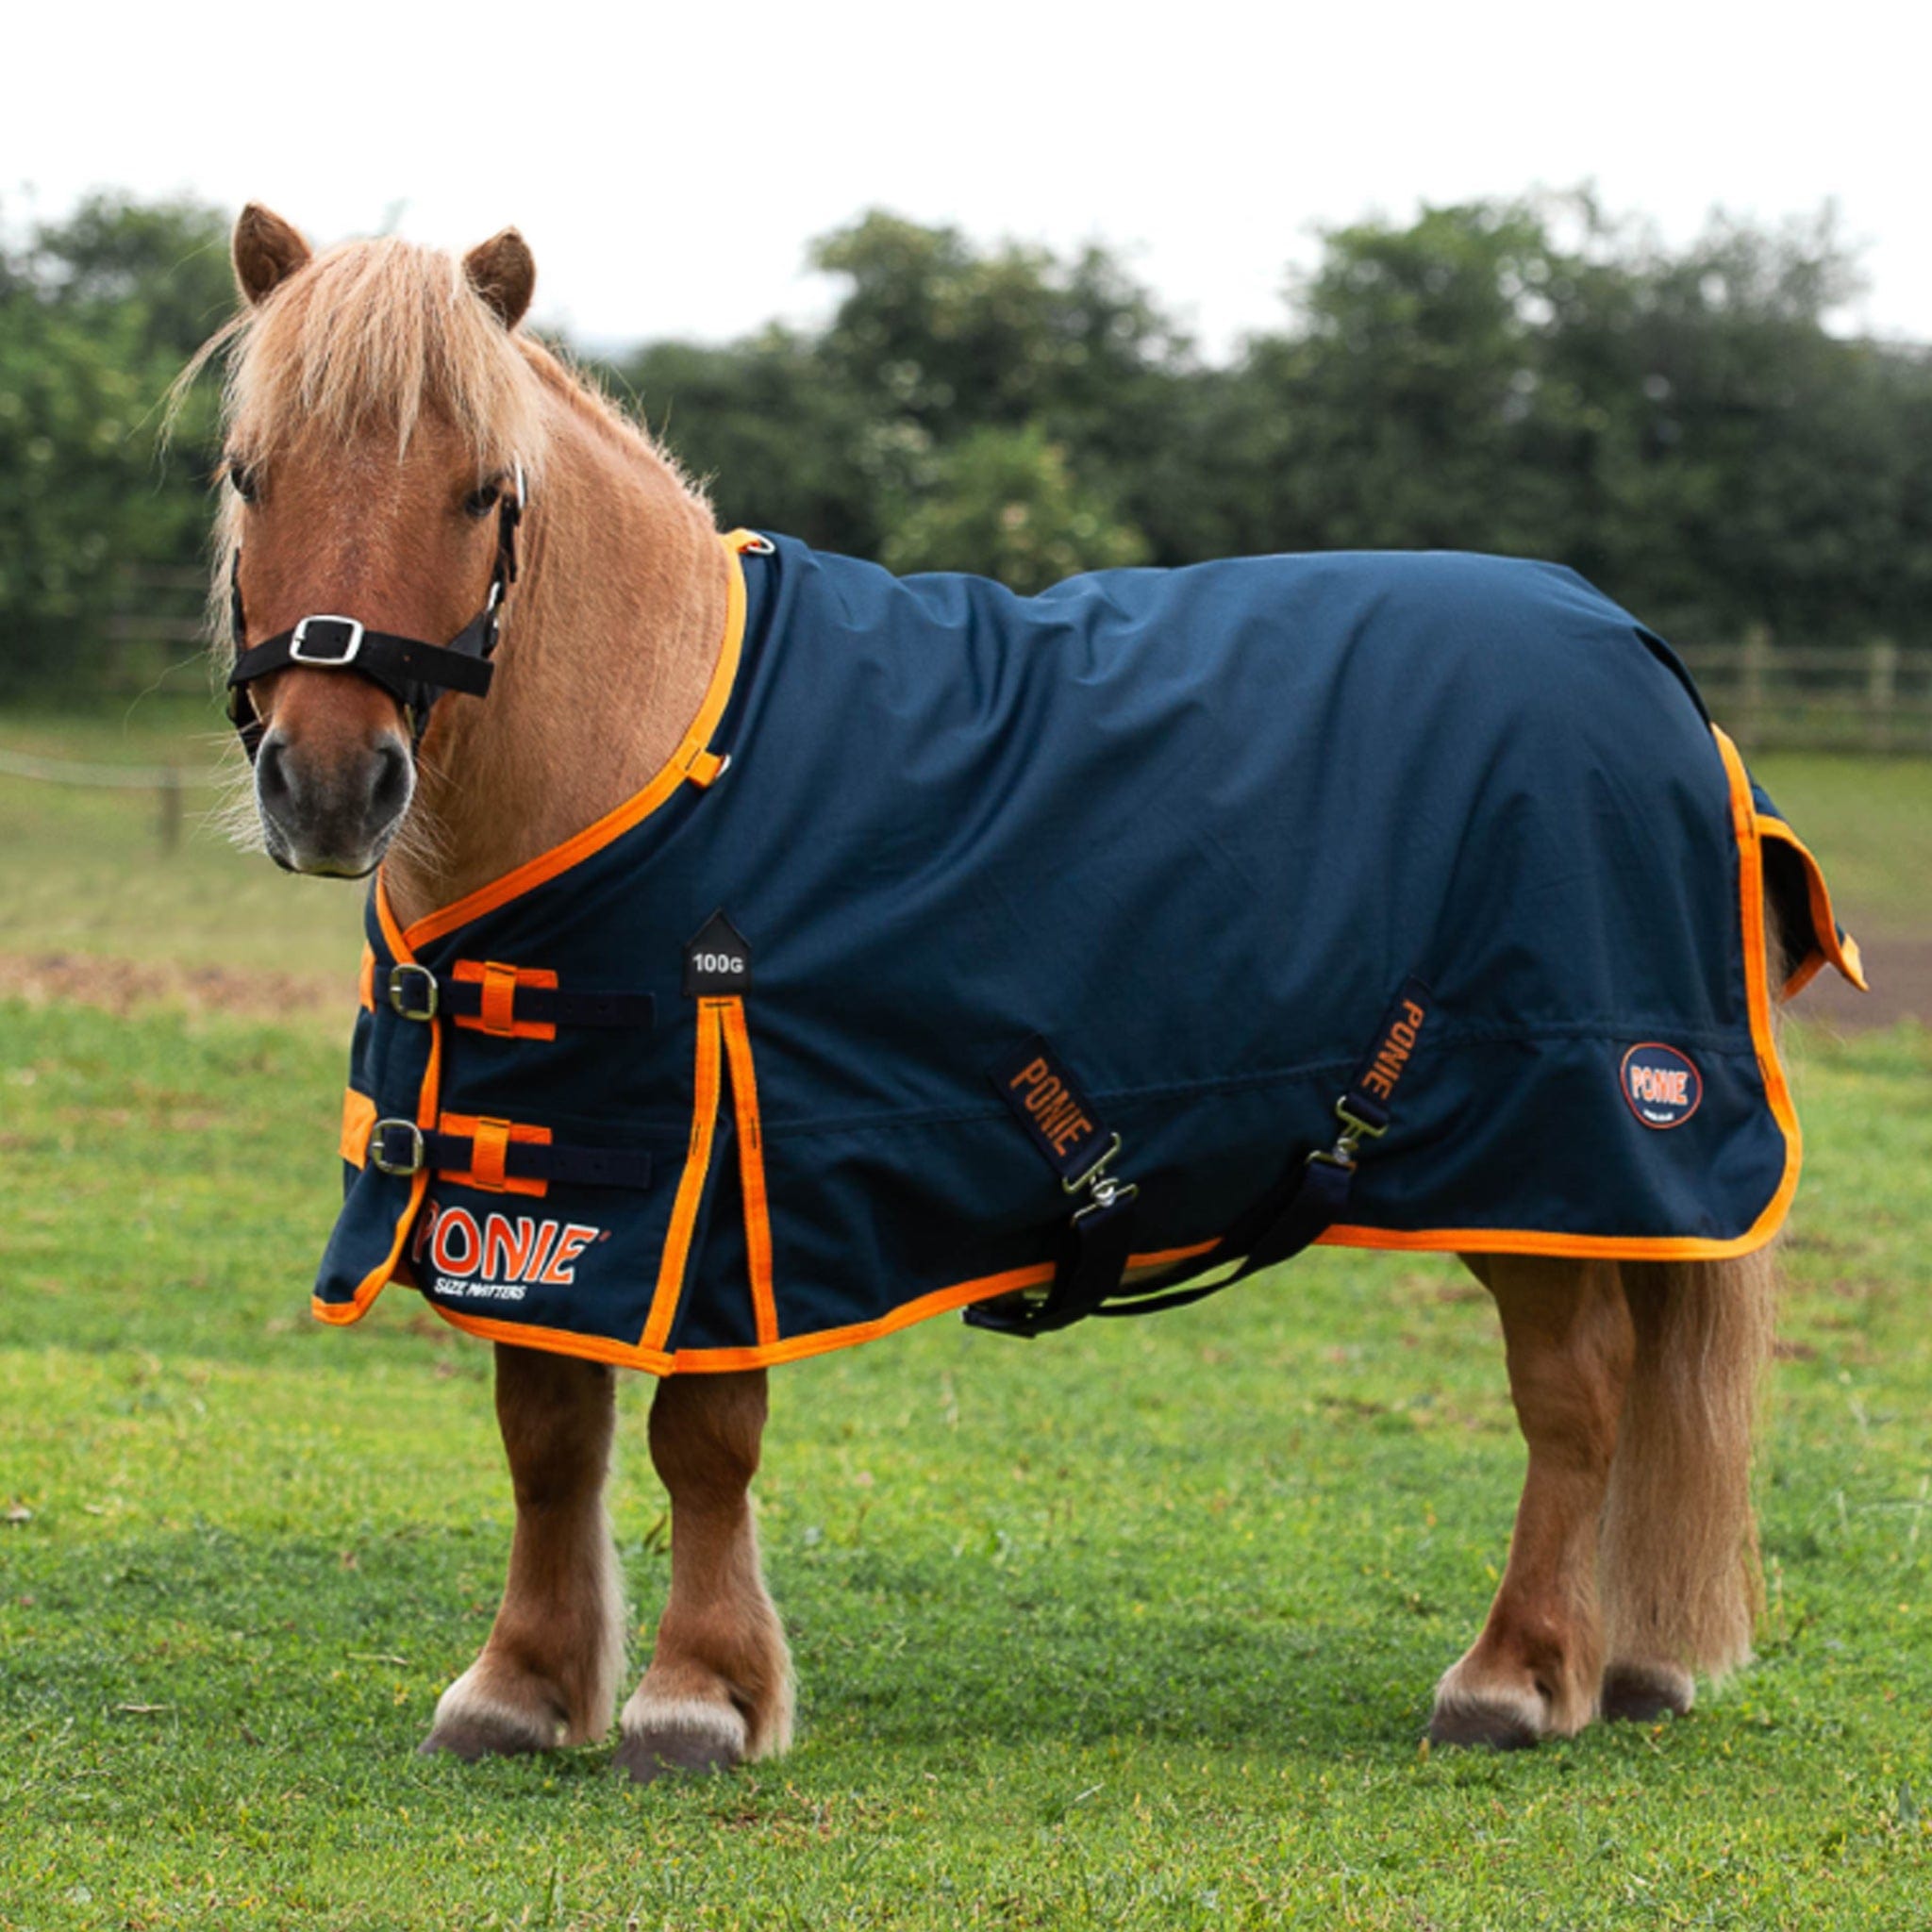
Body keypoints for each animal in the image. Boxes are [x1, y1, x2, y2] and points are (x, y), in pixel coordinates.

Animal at [180, 203, 1861, 1780]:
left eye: (484, 490)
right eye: (251, 474)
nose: (329, 785)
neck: (654, 756)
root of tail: (1648, 666)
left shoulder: (731, 1187)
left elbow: (701, 1437)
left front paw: (700, 1695)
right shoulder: (552, 1164)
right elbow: (546, 1433)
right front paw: (522, 1688)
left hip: (1560, 1148)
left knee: (1577, 1400)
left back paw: (1519, 1674)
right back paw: (1624, 1664)